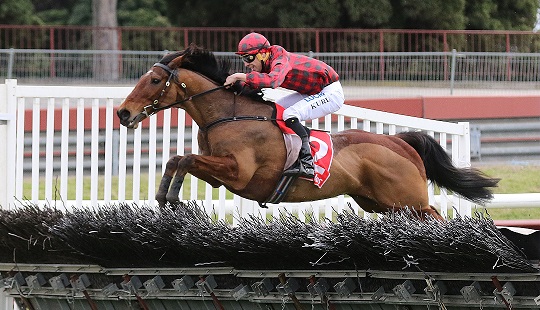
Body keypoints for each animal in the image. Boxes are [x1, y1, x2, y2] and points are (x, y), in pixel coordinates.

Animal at [116, 45, 500, 220]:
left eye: (154, 80)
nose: (123, 113)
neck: (228, 115)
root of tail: (397, 141)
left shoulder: (238, 173)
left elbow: (186, 159)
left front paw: (172, 196)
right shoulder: (219, 173)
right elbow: (178, 158)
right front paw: (165, 196)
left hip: (408, 200)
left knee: (436, 216)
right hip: (382, 203)